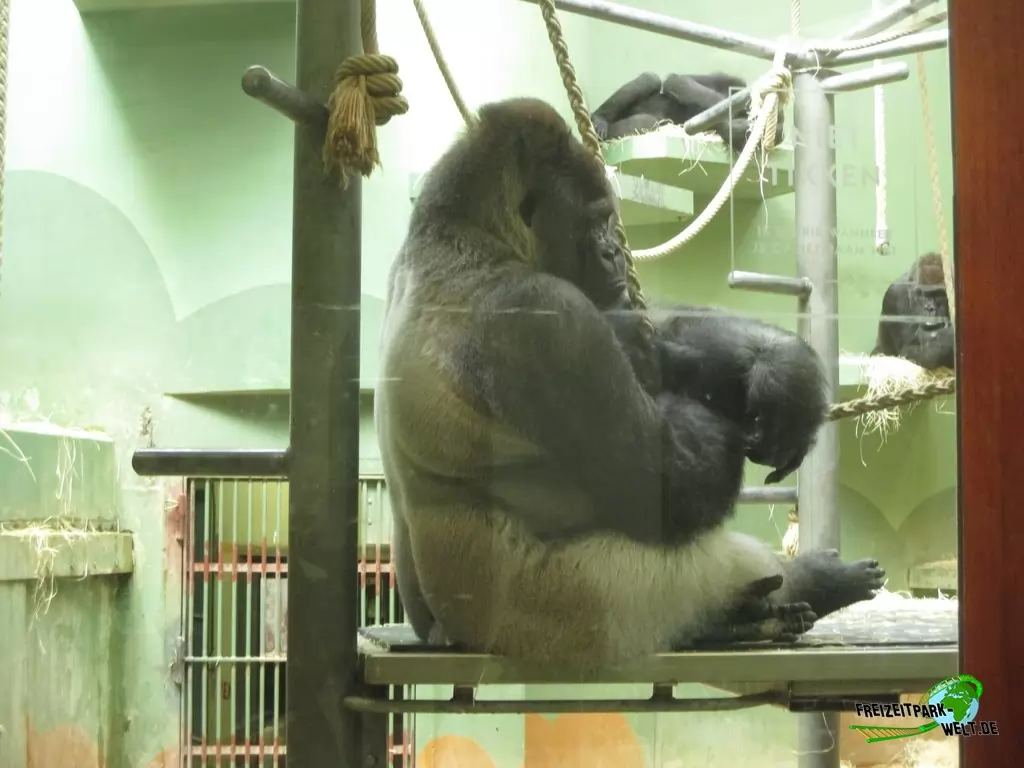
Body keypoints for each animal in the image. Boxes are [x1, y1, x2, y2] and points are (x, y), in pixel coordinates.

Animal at [375, 97, 884, 671]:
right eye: (596, 221)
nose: (615, 253)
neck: (469, 238)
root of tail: (441, 633)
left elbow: (648, 335)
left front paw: (778, 368)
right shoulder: (544, 317)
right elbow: (668, 487)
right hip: (562, 619)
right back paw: (764, 605)